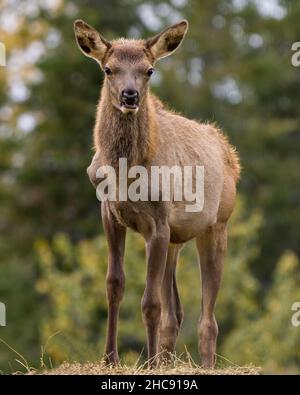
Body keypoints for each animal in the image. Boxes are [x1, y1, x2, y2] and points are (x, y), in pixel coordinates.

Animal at [74, 18, 240, 370]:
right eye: (108, 69)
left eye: (149, 70)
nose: (130, 95)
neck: (126, 173)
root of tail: (228, 150)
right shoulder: (109, 212)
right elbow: (114, 285)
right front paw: (110, 358)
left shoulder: (159, 221)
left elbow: (150, 302)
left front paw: (148, 363)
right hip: (176, 240)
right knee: (174, 313)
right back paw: (167, 360)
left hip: (217, 224)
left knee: (207, 315)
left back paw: (203, 364)